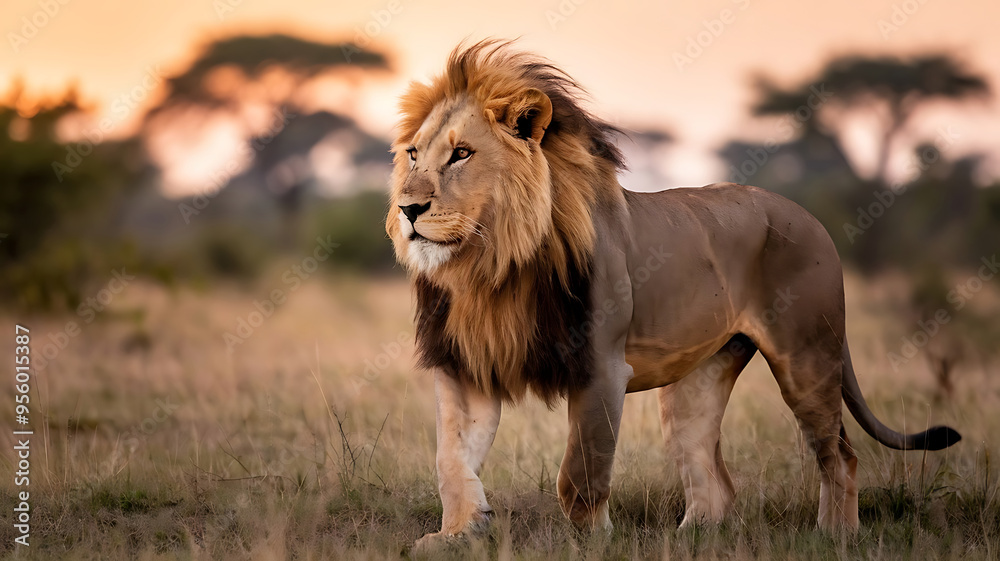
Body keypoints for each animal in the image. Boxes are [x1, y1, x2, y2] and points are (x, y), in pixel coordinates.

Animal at [386, 40, 961, 545]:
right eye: (413, 154)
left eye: (461, 154)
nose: (407, 209)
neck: (492, 266)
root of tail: (811, 217)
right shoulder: (465, 367)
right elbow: (450, 461)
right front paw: (455, 534)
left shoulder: (601, 367)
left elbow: (581, 472)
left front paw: (595, 541)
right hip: (698, 381)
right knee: (714, 479)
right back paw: (690, 537)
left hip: (808, 359)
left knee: (840, 453)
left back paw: (834, 535)